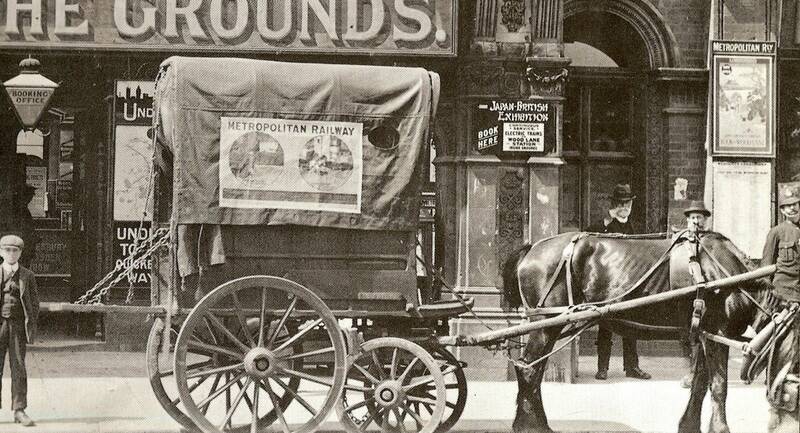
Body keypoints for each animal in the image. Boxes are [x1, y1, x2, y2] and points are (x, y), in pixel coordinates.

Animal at [504, 233, 772, 432]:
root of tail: (532, 249)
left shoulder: (706, 335)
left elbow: (700, 383)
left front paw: (688, 424)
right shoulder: (718, 334)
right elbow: (718, 385)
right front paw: (719, 428)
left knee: (535, 369)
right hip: (545, 325)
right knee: (528, 369)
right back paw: (531, 425)